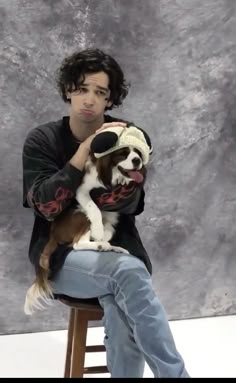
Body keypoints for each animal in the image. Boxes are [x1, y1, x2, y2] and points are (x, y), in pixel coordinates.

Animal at [23, 146, 146, 314]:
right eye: (122, 154)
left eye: (138, 153)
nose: (137, 160)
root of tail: (53, 234)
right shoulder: (82, 190)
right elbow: (94, 209)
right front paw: (98, 231)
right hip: (81, 216)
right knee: (77, 243)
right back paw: (101, 244)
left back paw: (112, 247)